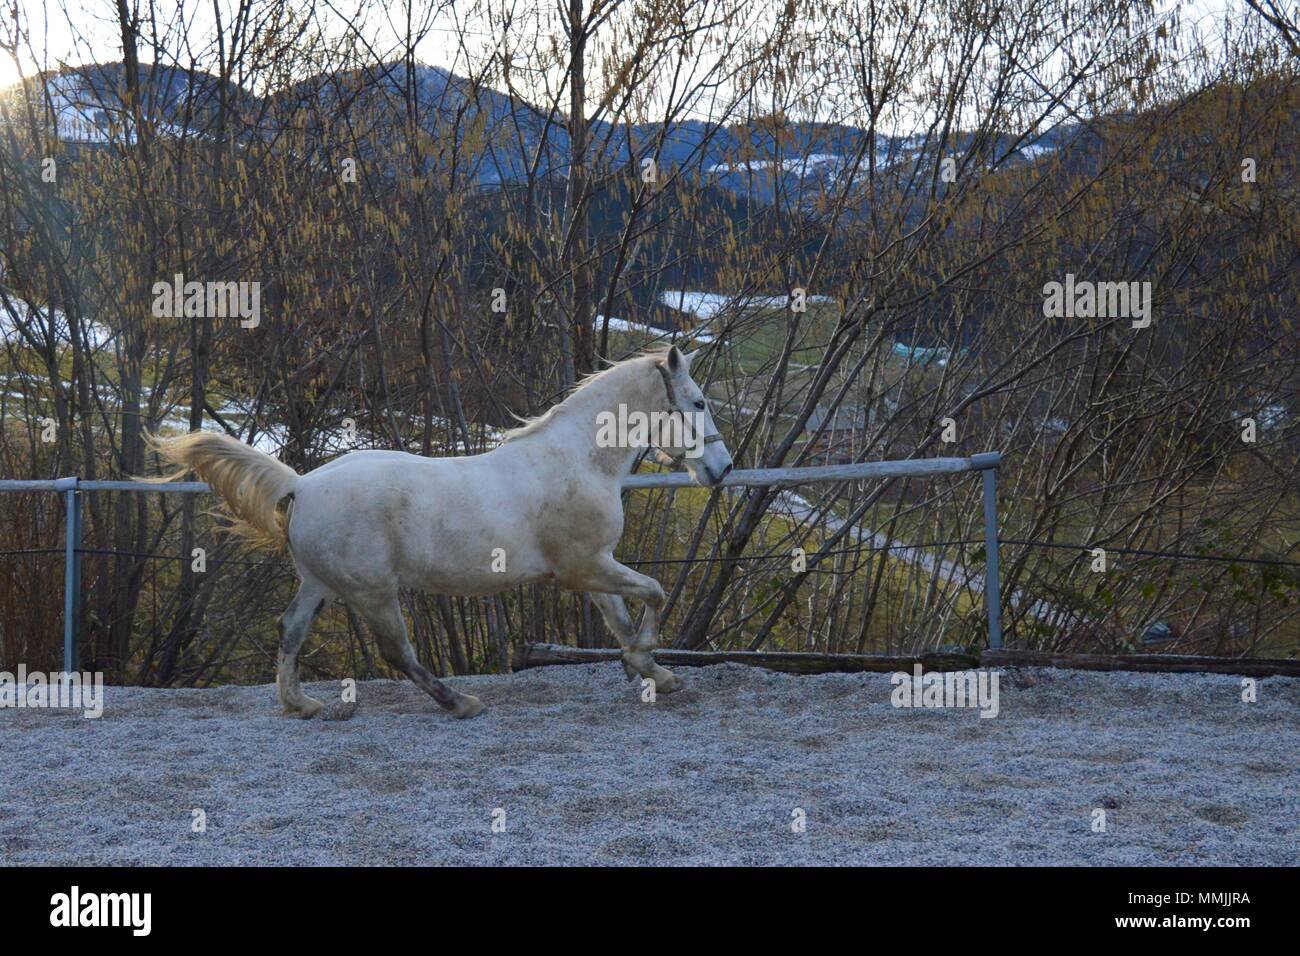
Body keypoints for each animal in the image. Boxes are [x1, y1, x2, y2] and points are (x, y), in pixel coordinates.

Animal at [146, 346, 733, 719]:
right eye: (698, 402)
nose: (723, 468)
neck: (578, 461)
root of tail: (302, 484)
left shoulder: (594, 567)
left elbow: (621, 622)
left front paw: (656, 675)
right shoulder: (584, 567)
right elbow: (653, 594)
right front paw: (648, 666)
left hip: (321, 583)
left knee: (290, 629)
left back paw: (302, 705)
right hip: (373, 591)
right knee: (396, 651)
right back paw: (460, 704)